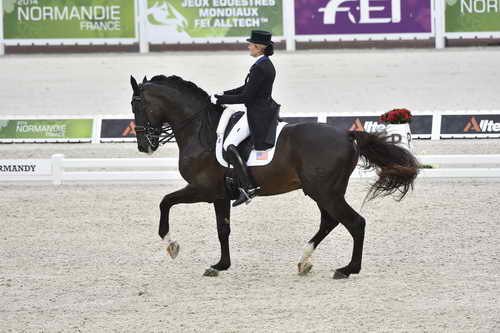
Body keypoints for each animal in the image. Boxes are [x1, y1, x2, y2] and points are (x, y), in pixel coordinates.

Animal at [129, 74, 418, 278]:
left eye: (137, 105)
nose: (144, 146)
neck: (200, 130)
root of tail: (347, 135)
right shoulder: (220, 195)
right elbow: (223, 228)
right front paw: (221, 265)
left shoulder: (204, 189)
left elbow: (165, 202)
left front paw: (172, 245)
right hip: (323, 192)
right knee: (330, 222)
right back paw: (304, 261)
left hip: (324, 192)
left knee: (355, 223)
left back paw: (347, 269)